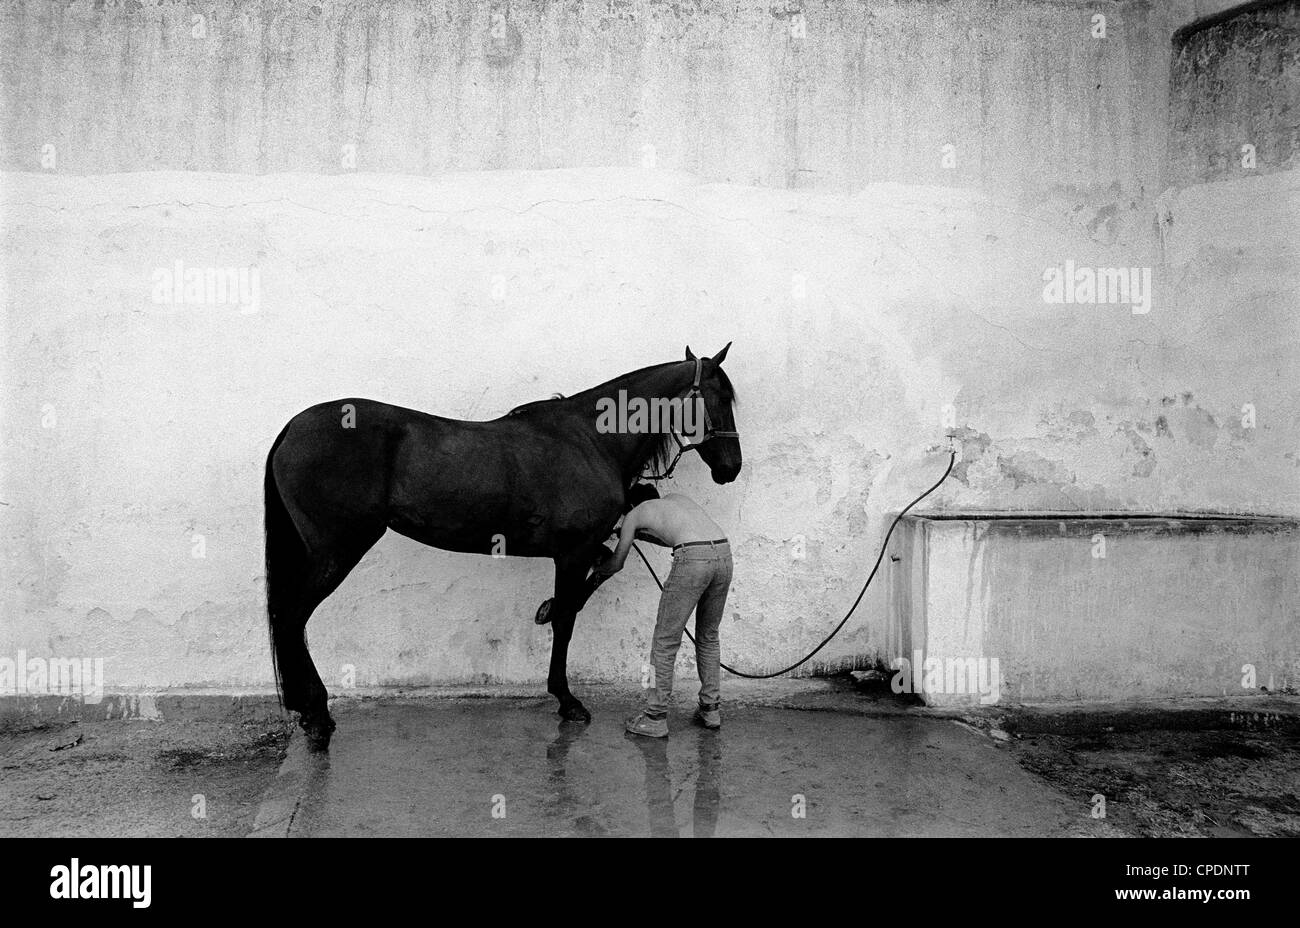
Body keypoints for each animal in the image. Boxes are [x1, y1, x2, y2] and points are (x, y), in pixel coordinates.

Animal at [265, 344, 741, 750]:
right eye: (718, 396)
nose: (731, 468)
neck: (589, 440)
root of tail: (292, 427)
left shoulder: (585, 549)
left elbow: (593, 582)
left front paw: (547, 612)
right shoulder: (573, 552)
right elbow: (567, 619)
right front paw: (567, 700)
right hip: (335, 553)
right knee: (291, 618)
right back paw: (317, 716)